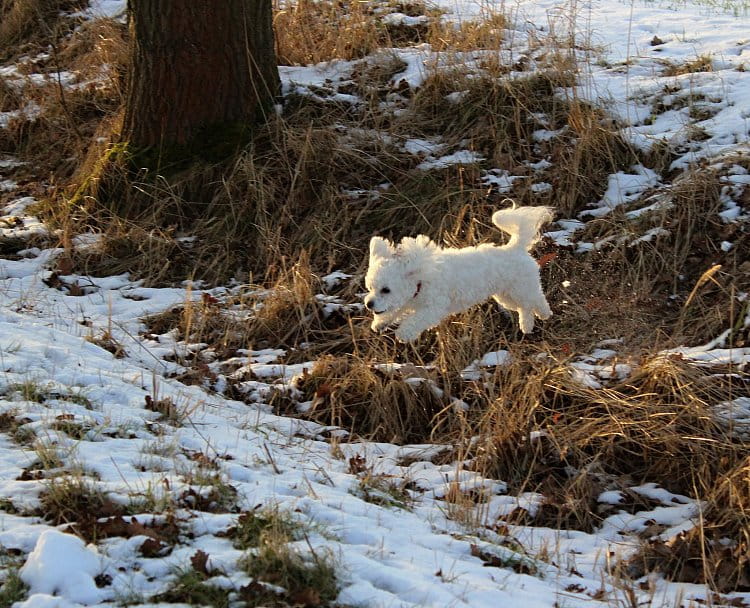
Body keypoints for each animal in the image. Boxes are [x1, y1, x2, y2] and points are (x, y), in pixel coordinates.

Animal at [368, 207, 556, 342]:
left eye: (386, 290)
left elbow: (416, 320)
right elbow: (394, 311)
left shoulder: (433, 307)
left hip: (522, 288)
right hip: (506, 296)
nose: (369, 304)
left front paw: (404, 333)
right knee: (525, 307)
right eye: (370, 288)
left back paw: (544, 314)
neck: (421, 281)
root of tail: (515, 247)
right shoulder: (408, 301)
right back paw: (527, 325)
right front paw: (380, 323)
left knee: (537, 300)